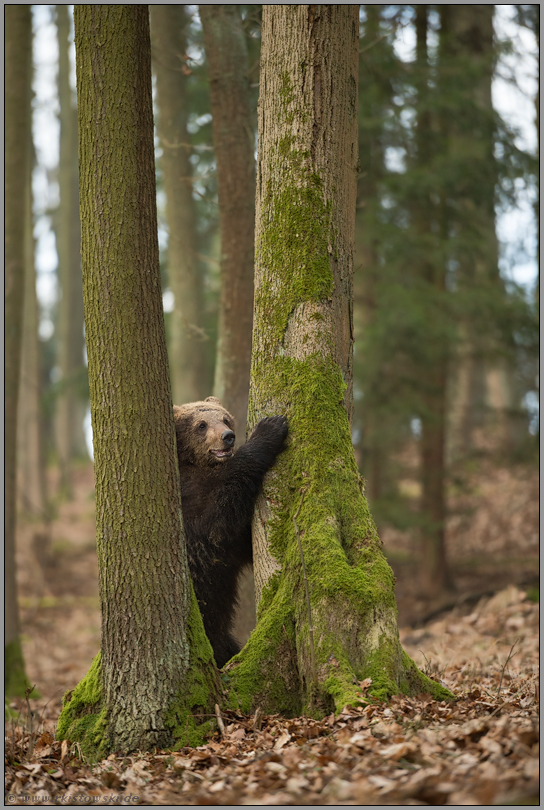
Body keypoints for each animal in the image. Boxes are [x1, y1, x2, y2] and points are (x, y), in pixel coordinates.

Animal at [173, 396, 288, 667]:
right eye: (201, 425)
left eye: (224, 418)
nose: (228, 436)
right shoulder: (192, 505)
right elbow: (221, 517)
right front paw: (270, 428)